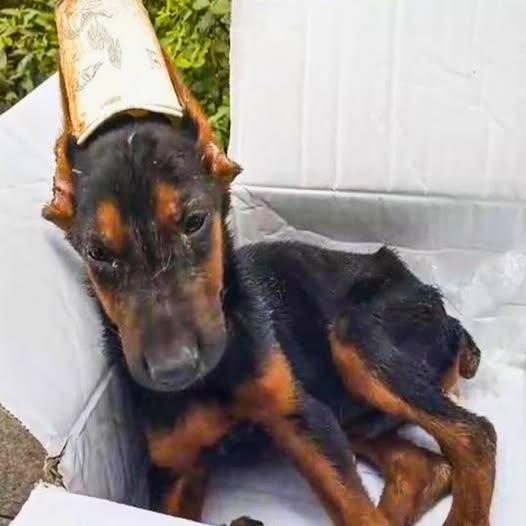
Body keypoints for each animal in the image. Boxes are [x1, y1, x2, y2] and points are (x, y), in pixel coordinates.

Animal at [43, 53, 497, 526]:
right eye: (98, 252)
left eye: (194, 221)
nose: (174, 371)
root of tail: (449, 316)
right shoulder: (173, 468)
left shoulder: (303, 415)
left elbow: (356, 509)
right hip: (350, 415)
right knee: (424, 467)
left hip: (358, 335)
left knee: (475, 433)